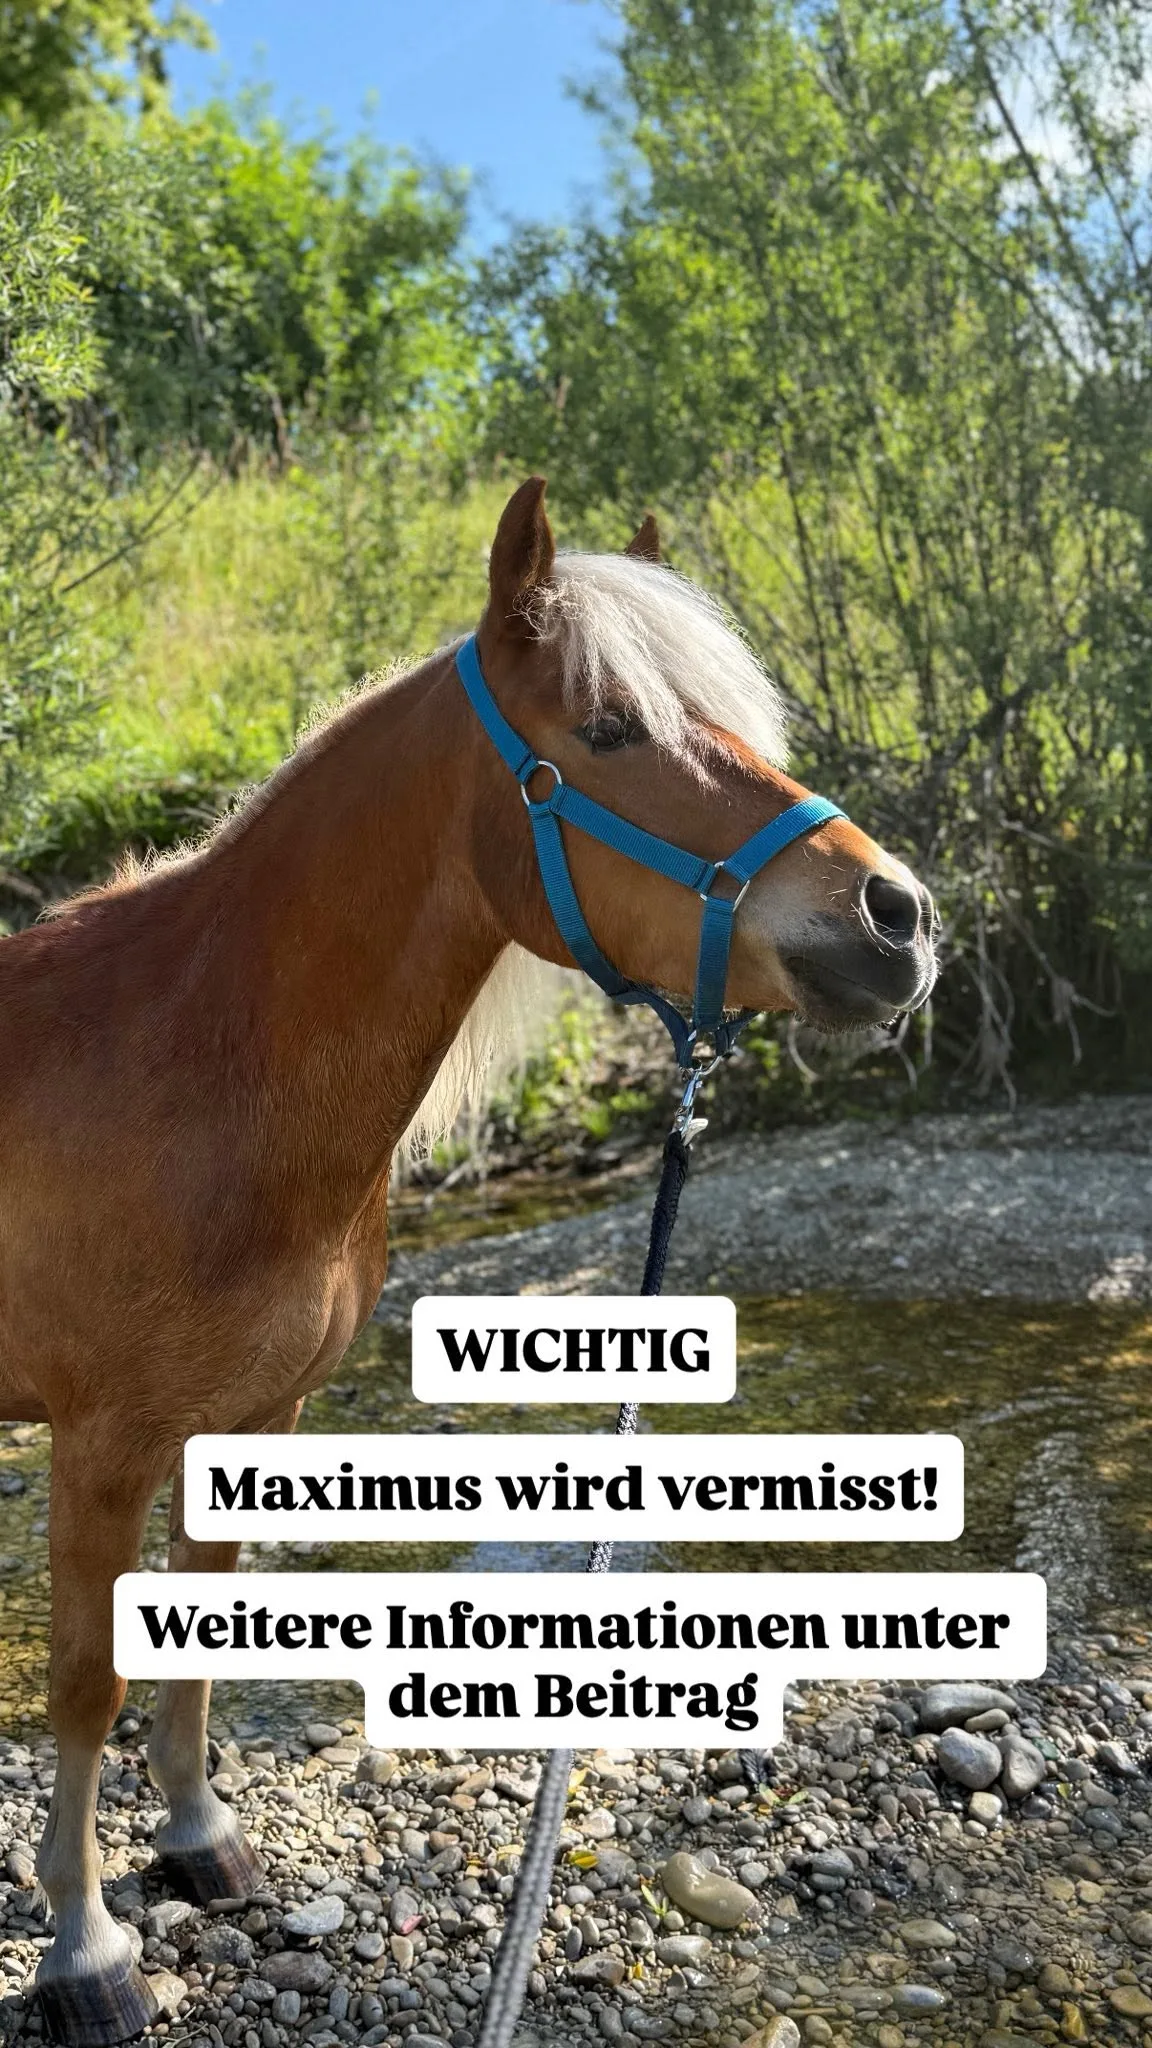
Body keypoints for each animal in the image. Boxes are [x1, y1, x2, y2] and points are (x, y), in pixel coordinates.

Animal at [0, 477, 936, 2044]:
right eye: (609, 729)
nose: (900, 919)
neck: (192, 1066)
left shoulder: (252, 1417)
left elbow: (199, 1627)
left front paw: (198, 1841)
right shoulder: (103, 1441)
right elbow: (84, 1680)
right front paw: (84, 1947)